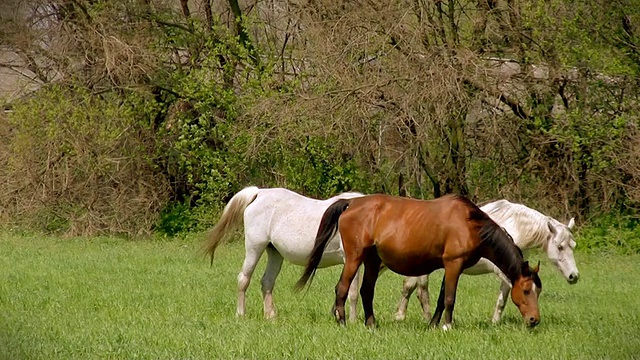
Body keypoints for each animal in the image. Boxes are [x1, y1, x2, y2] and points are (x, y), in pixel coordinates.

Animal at [202, 187, 362, 320]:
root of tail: (259, 193)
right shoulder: (351, 260)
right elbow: (353, 293)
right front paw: (352, 321)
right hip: (254, 248)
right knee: (243, 279)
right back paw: (241, 314)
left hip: (275, 253)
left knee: (267, 281)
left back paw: (270, 316)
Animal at [296, 194, 540, 330]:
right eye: (526, 290)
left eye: (539, 292)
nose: (534, 320)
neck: (470, 223)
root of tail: (351, 203)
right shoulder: (454, 264)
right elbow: (449, 298)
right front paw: (447, 326)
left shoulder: (450, 267)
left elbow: (441, 298)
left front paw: (433, 325)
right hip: (355, 258)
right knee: (342, 288)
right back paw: (343, 322)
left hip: (372, 260)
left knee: (366, 291)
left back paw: (371, 324)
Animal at [392, 200, 584, 324]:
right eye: (559, 247)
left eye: (573, 246)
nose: (574, 276)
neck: (516, 227)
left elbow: (502, 299)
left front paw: (495, 322)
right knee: (416, 289)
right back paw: (410, 317)